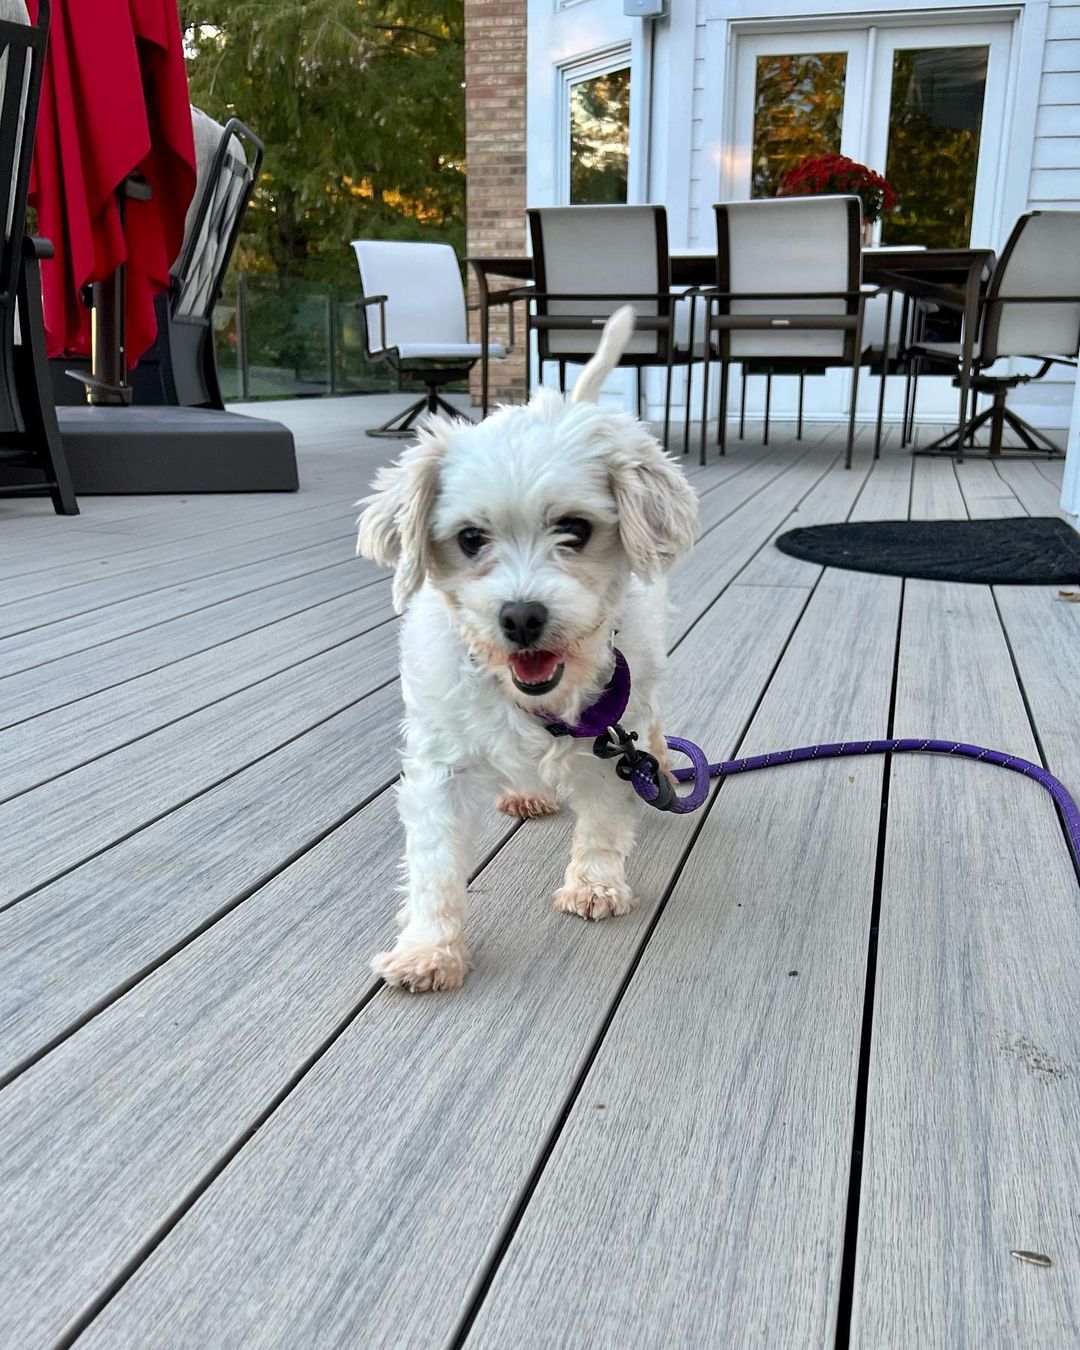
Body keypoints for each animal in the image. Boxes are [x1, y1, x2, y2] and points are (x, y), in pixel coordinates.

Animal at [356, 309, 702, 993]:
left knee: (653, 728)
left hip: (649, 678)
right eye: (470, 538)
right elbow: (434, 867)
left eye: (574, 530)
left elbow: (604, 821)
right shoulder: (439, 765)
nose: (520, 617)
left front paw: (595, 884)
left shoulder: (610, 742)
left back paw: (659, 765)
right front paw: (429, 948)